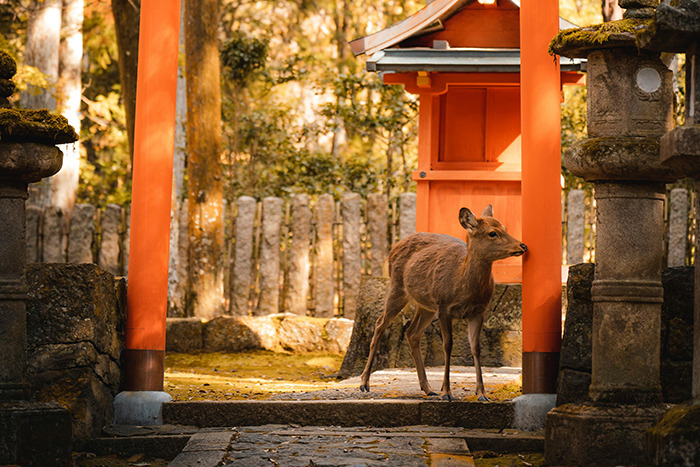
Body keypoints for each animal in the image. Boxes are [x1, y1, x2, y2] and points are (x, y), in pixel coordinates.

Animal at [359, 205, 527, 401]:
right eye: (492, 233)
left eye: (505, 228)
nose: (522, 246)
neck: (464, 285)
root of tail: (393, 248)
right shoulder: (445, 306)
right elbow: (448, 346)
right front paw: (447, 392)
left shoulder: (479, 311)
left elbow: (476, 348)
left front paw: (482, 394)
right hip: (397, 287)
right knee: (380, 323)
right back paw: (364, 383)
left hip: (426, 306)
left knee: (412, 332)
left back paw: (428, 388)